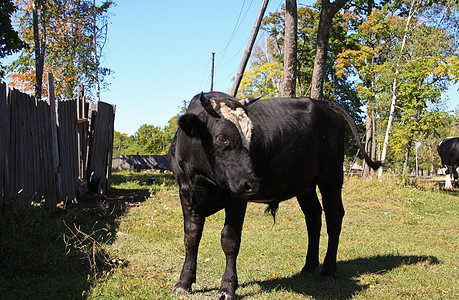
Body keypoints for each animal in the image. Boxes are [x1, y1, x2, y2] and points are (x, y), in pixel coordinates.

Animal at [167, 92, 382, 298]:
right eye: (221, 138)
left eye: (251, 138)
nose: (252, 183)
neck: (200, 179)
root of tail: (323, 104)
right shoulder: (185, 195)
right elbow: (191, 238)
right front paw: (183, 283)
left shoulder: (237, 198)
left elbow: (229, 240)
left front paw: (227, 288)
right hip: (306, 186)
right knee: (313, 219)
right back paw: (308, 266)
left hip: (331, 177)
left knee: (334, 218)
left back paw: (327, 271)